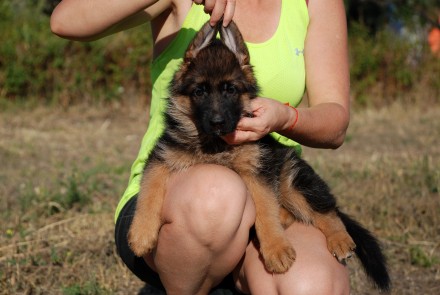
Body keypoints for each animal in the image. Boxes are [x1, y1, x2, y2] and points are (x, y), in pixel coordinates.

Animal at [129, 21, 390, 294]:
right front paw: (141, 233)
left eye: (230, 90)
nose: (217, 122)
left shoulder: (259, 171)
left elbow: (265, 207)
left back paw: (340, 239)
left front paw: (275, 248)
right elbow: (149, 190)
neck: (216, 145)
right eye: (199, 91)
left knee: (328, 211)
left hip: (293, 183)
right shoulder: (160, 158)